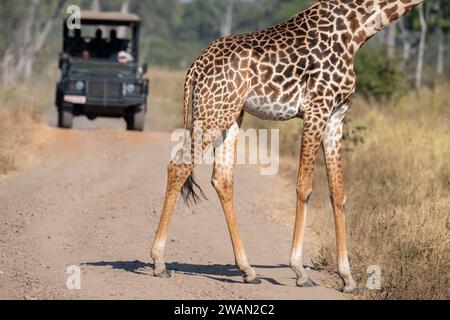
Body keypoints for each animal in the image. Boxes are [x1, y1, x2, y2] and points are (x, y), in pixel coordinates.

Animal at [150, 0, 422, 294]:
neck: (357, 31)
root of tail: (194, 67)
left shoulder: (337, 114)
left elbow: (338, 192)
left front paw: (348, 279)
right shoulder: (317, 107)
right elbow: (305, 186)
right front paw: (300, 271)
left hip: (230, 114)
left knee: (221, 178)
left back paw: (248, 270)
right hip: (213, 112)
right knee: (178, 166)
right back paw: (159, 262)